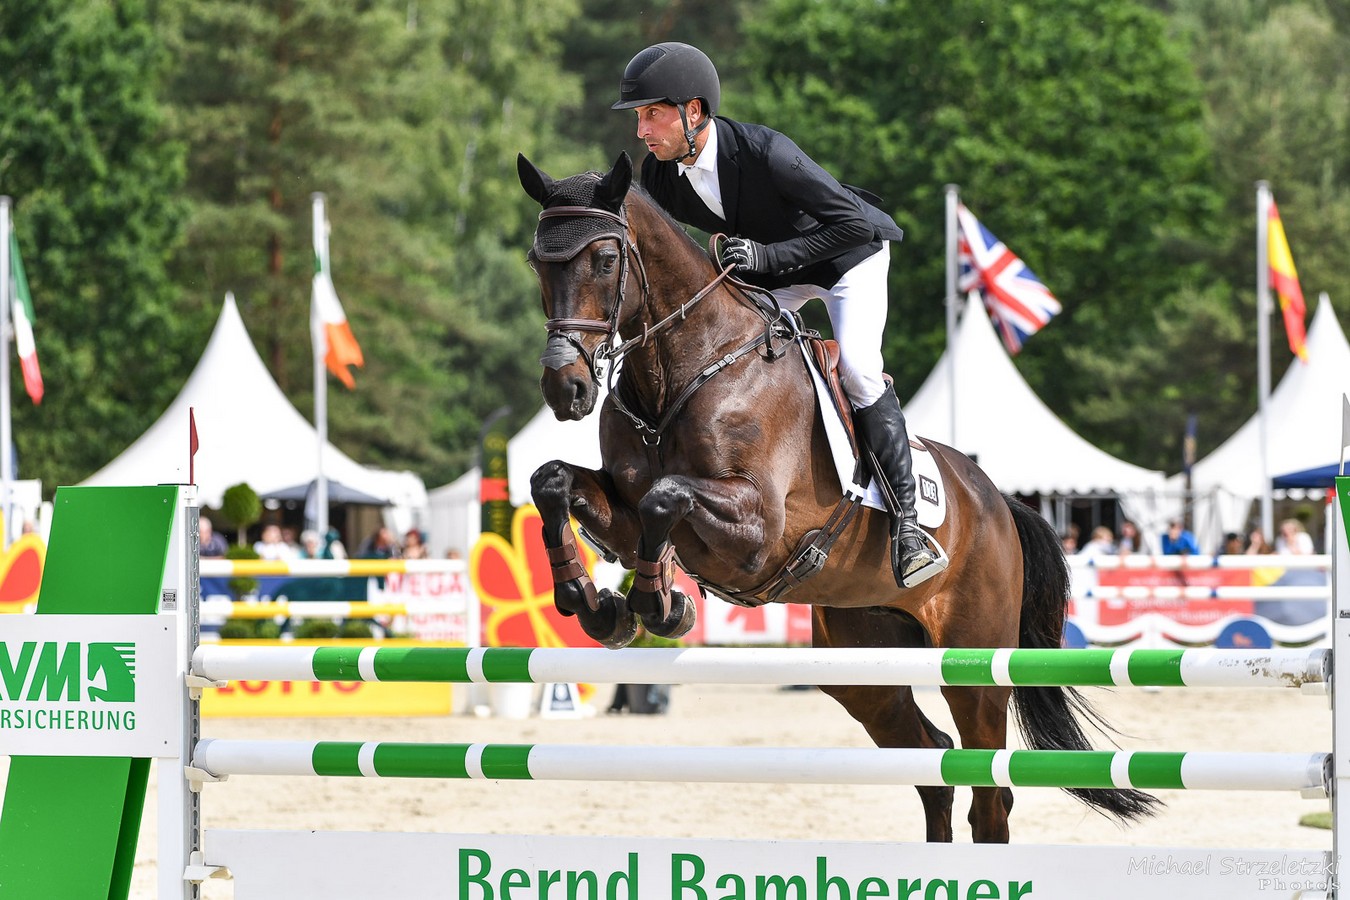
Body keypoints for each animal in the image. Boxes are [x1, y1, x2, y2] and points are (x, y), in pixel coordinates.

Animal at [516, 150, 1156, 842]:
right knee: (932, 762)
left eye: (606, 260)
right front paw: (595, 606)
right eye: (537, 262)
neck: (682, 368)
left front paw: (659, 606)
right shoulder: (626, 507)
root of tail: (1000, 504)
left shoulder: (756, 528)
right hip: (863, 666)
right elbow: (556, 483)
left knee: (989, 794)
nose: (566, 389)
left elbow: (667, 497)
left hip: (975, 667)